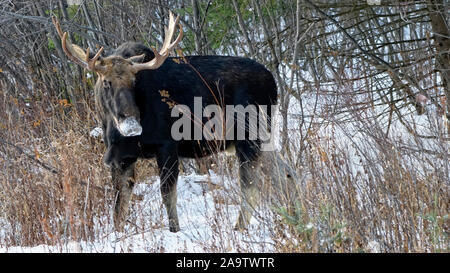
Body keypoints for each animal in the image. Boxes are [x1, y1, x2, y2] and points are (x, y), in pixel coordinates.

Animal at [52, 11, 278, 231]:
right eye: (106, 83)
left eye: (134, 81)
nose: (131, 122)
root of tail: (273, 84)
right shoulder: (121, 157)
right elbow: (118, 208)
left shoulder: (167, 145)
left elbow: (168, 197)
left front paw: (175, 231)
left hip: (249, 137)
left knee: (251, 188)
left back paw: (238, 228)